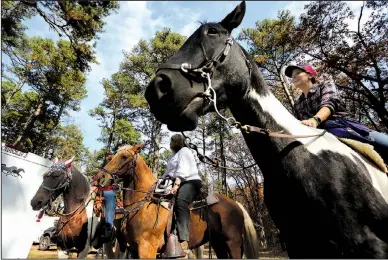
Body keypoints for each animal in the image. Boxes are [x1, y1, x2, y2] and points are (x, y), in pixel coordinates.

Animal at [98, 144, 260, 258]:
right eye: (111, 157)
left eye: (124, 156)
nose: (101, 178)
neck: (143, 204)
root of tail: (236, 204)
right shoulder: (134, 250)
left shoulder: (147, 248)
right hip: (218, 243)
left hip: (232, 242)